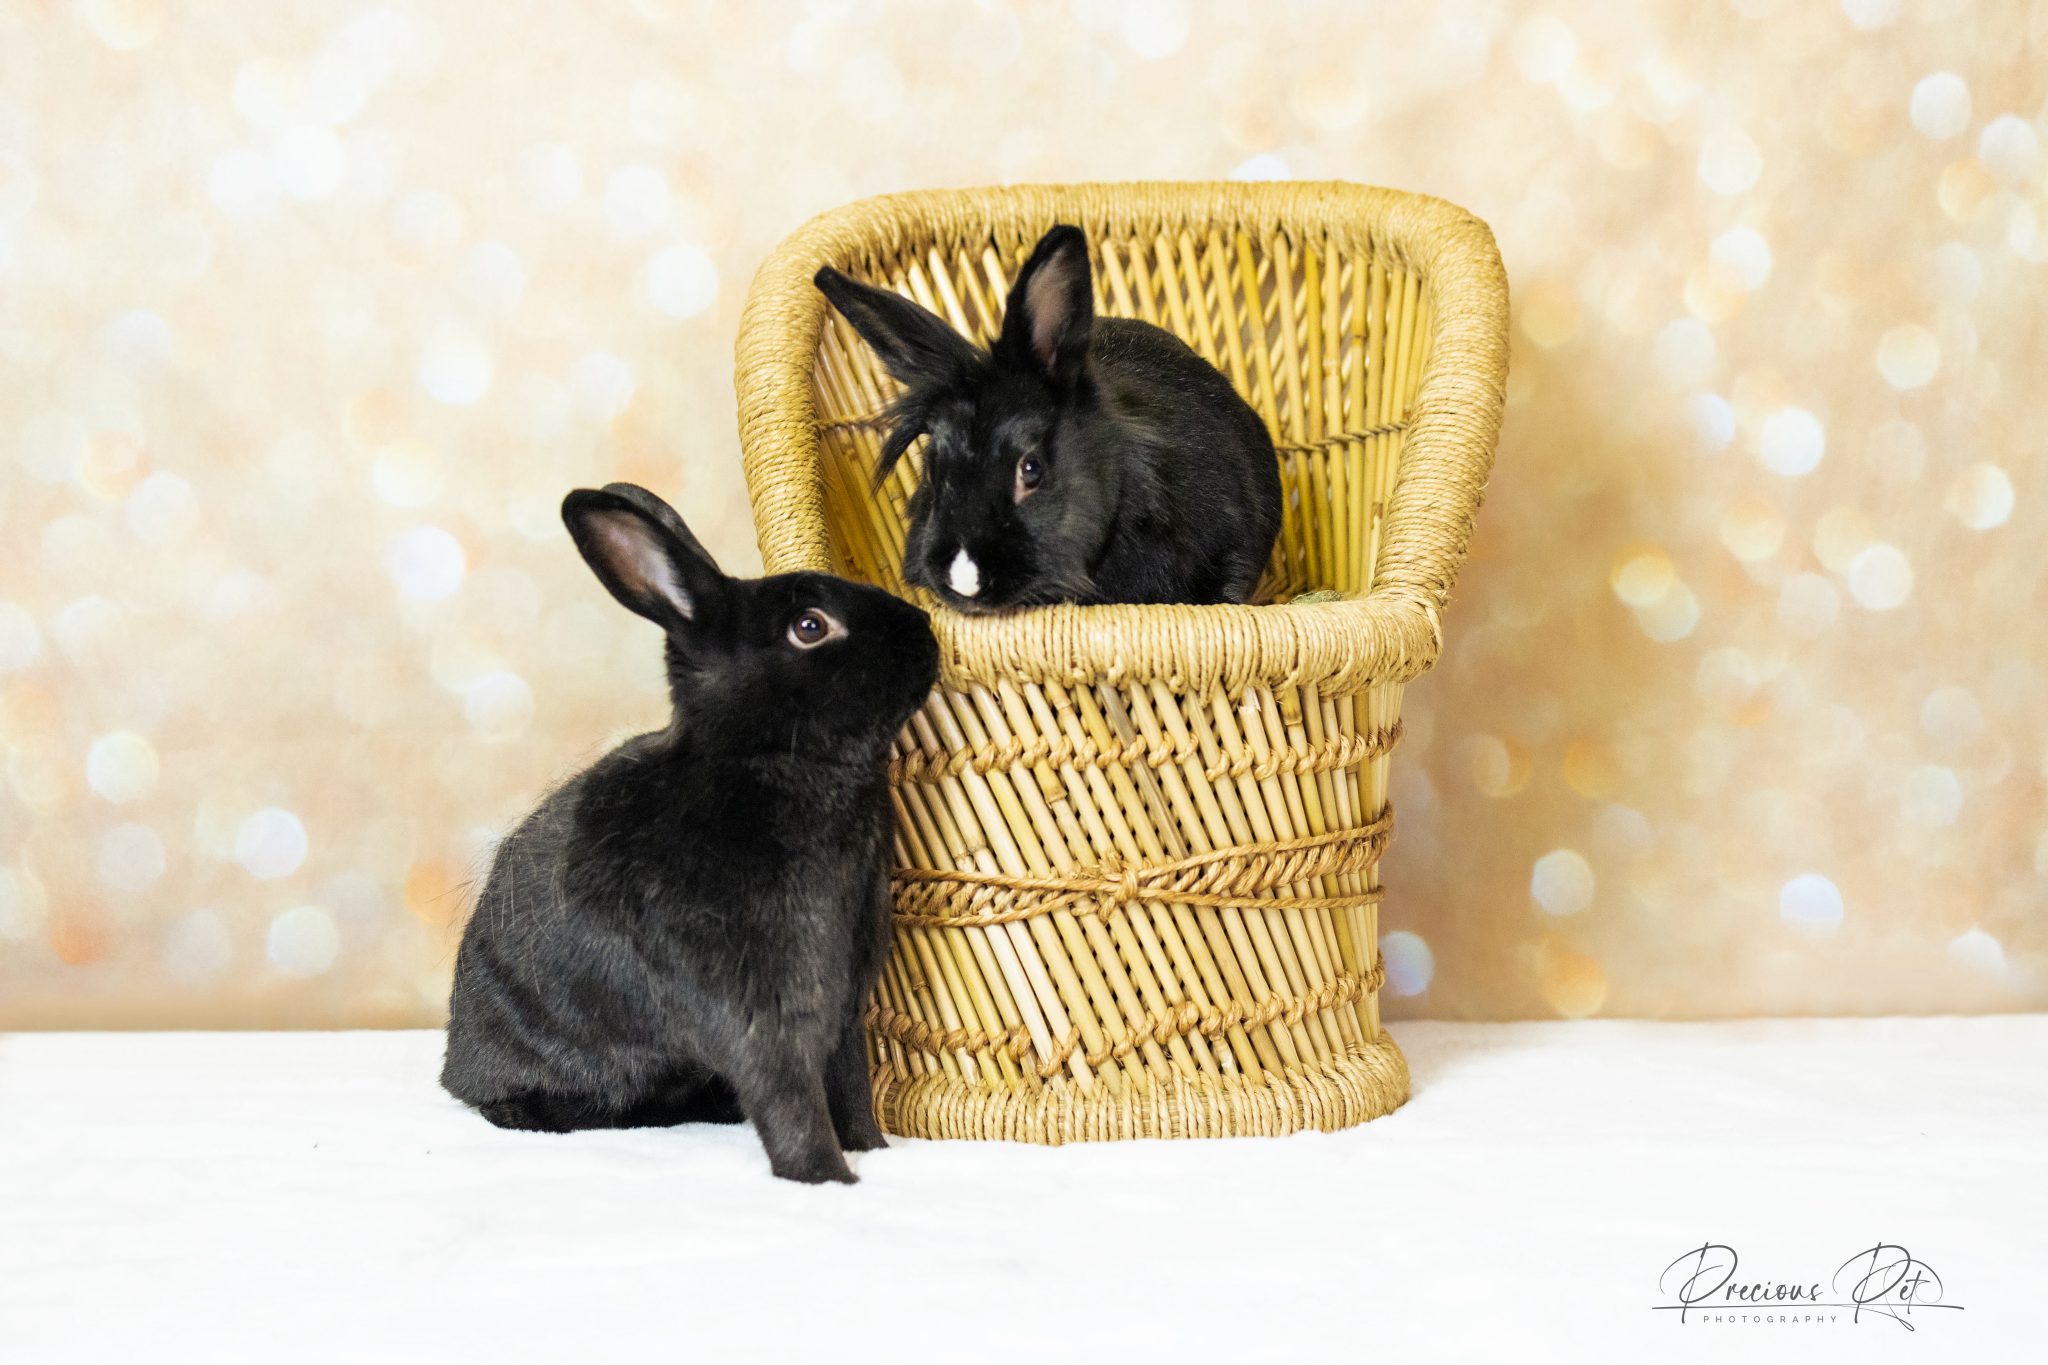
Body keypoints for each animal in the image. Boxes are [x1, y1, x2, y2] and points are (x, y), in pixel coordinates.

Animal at [440, 482, 938, 1184]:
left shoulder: (845, 1001)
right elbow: (790, 1097)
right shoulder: (758, 1006)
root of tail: (451, 1060)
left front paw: (873, 1150)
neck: (770, 760)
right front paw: (826, 1178)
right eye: (810, 627)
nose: (924, 631)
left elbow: (850, 1085)